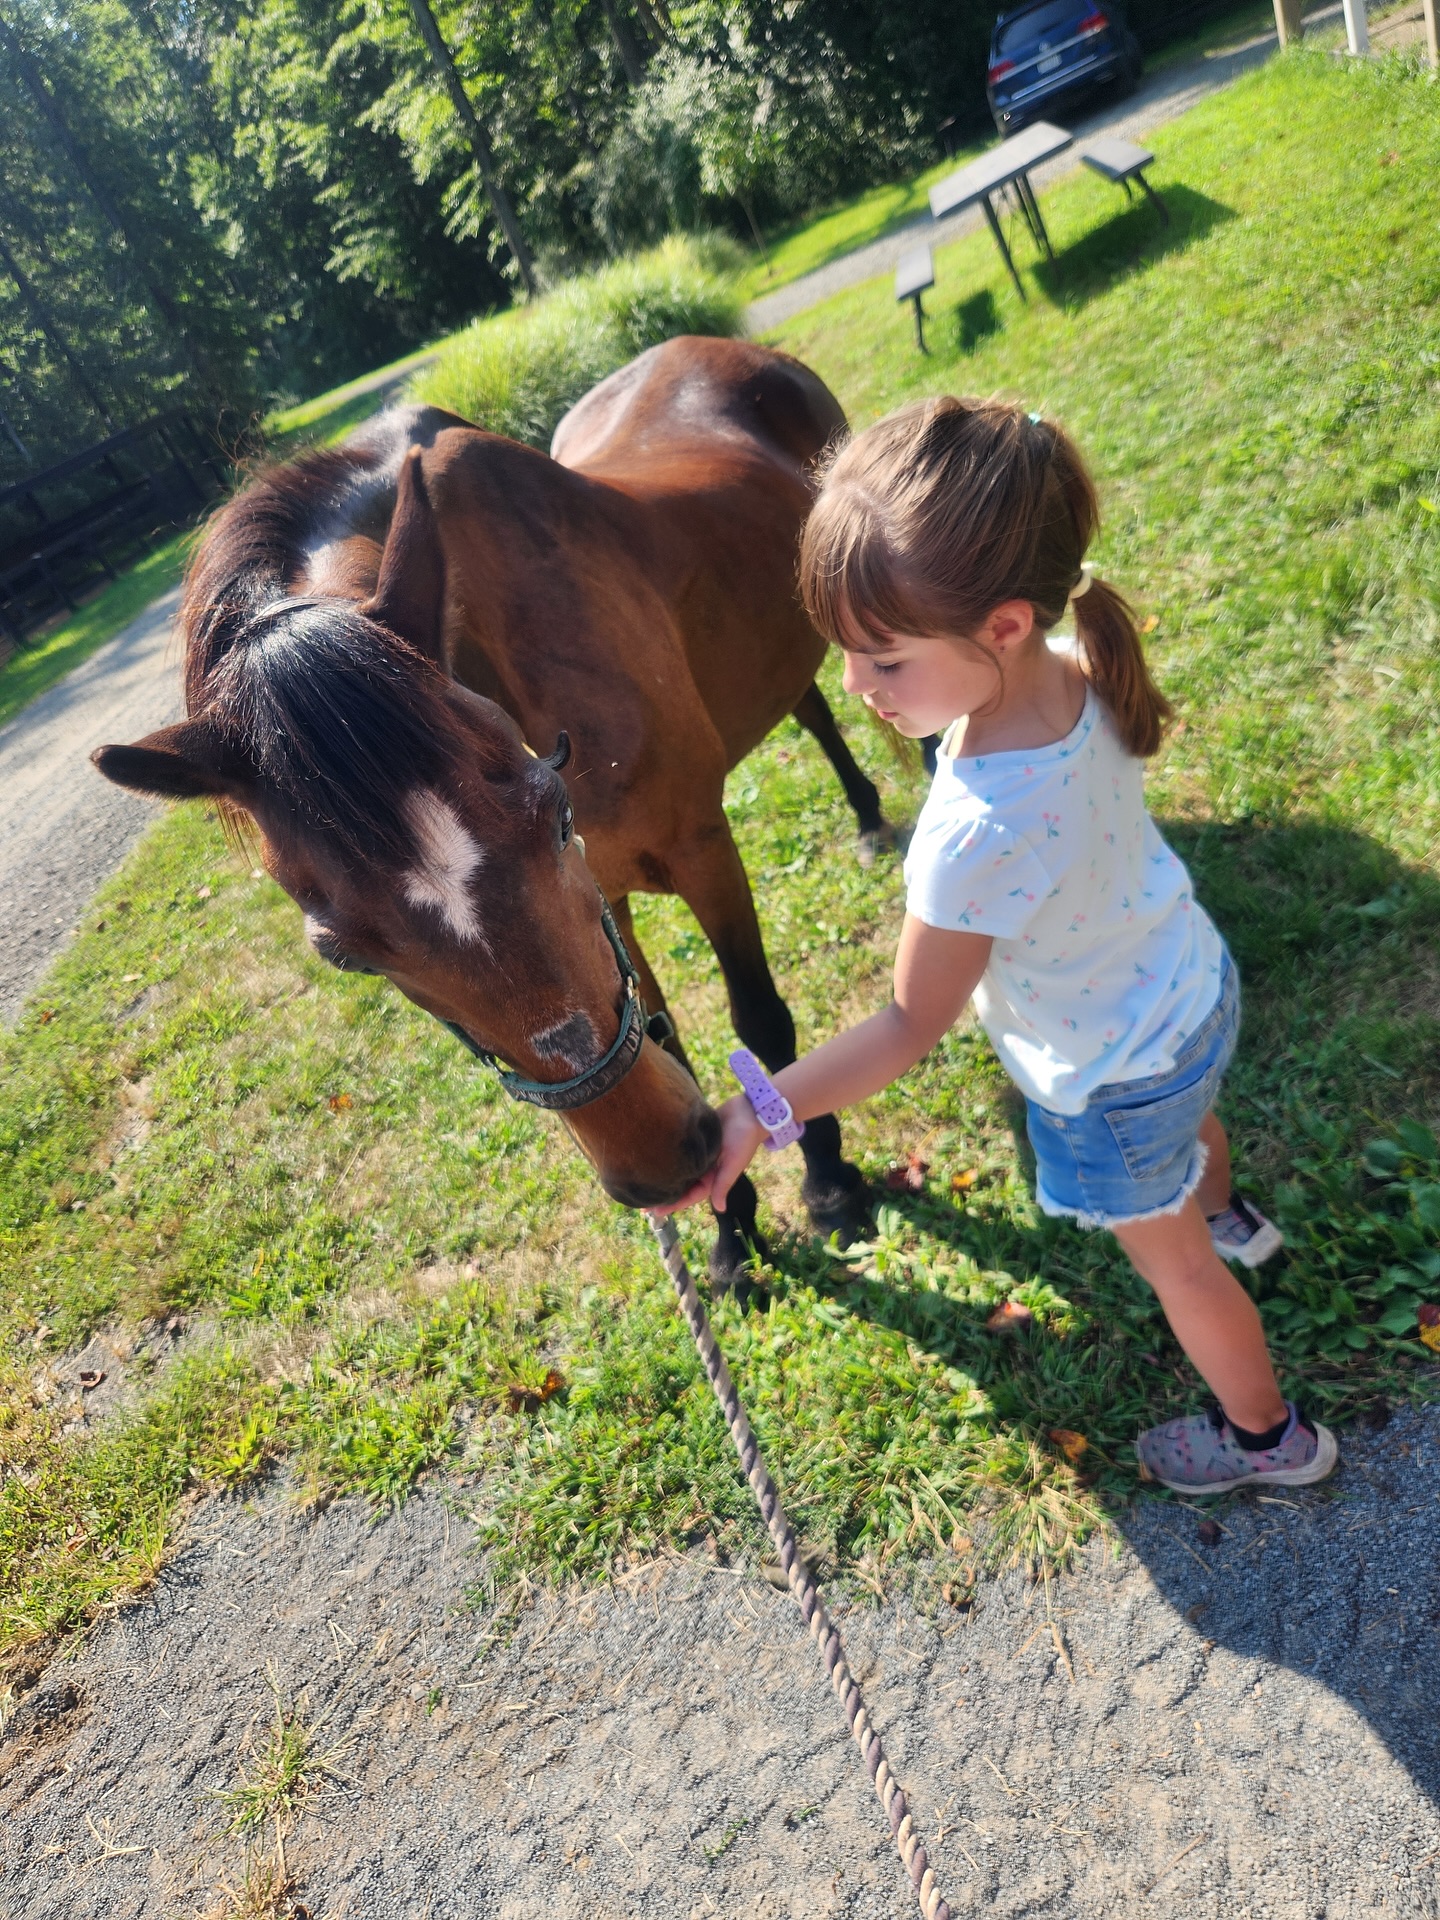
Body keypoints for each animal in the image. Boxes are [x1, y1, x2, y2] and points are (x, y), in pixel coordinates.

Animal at [94, 335, 900, 1284]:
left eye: (555, 818)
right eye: (344, 957)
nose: (664, 1165)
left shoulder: (701, 849)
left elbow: (760, 1018)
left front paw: (830, 1183)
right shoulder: (609, 895)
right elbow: (661, 1031)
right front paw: (731, 1231)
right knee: (810, 707)